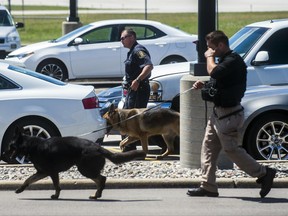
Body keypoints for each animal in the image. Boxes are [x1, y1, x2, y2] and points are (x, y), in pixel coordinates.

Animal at [3, 127, 145, 200]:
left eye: (10, 146)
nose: (3, 152)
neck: (30, 146)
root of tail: (98, 147)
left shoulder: (51, 172)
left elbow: (56, 185)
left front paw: (56, 195)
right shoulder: (42, 172)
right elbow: (28, 179)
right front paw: (20, 189)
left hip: (85, 169)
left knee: (102, 179)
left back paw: (97, 194)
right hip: (86, 169)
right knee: (100, 179)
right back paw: (96, 195)